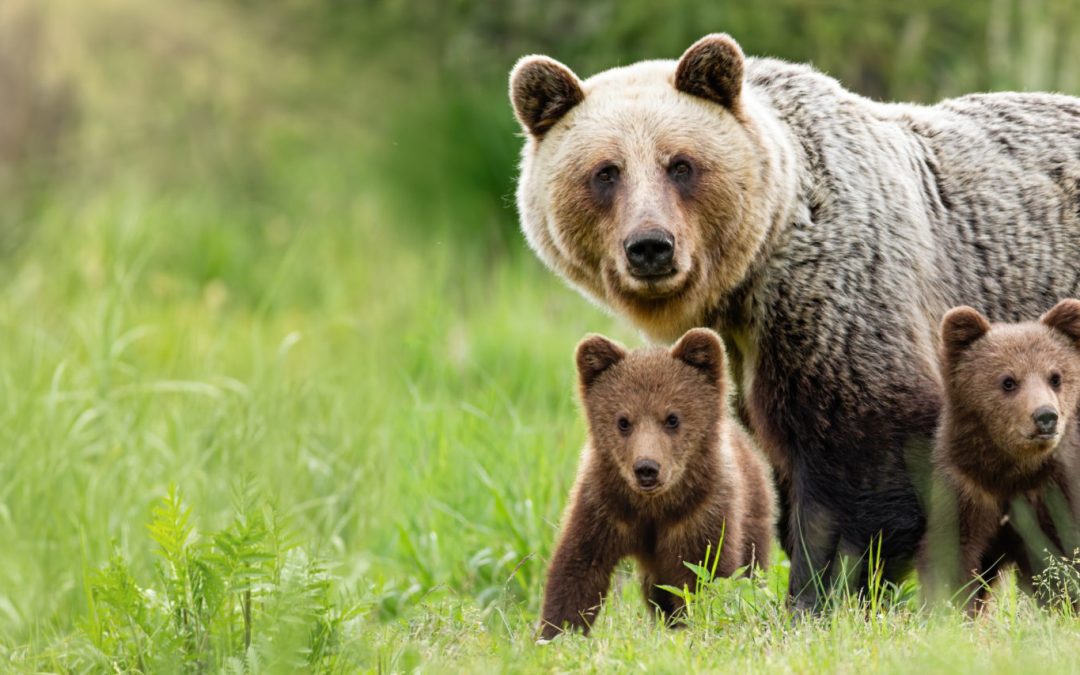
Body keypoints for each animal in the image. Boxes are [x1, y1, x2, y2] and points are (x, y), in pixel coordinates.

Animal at [544, 328, 773, 639]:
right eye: (623, 421)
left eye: (672, 418)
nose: (647, 468)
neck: (654, 507)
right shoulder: (604, 507)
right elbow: (577, 568)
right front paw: (556, 632)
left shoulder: (701, 514)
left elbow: (707, 574)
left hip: (753, 512)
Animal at [915, 298, 1080, 609]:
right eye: (1008, 381)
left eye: (1055, 377)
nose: (1045, 416)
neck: (1010, 473)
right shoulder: (966, 488)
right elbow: (953, 555)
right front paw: (949, 606)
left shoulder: (1053, 491)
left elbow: (1060, 557)